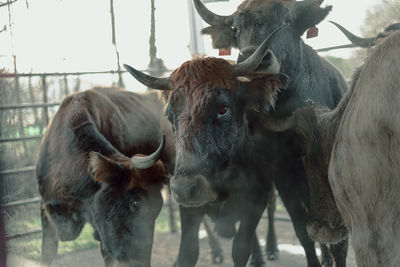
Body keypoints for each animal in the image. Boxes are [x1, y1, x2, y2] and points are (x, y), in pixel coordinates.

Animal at [125, 28, 294, 266]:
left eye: (223, 108)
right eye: (170, 115)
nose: (186, 188)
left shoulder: (256, 199)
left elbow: (240, 248)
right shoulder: (188, 209)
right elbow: (188, 252)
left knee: (271, 207)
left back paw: (269, 249)